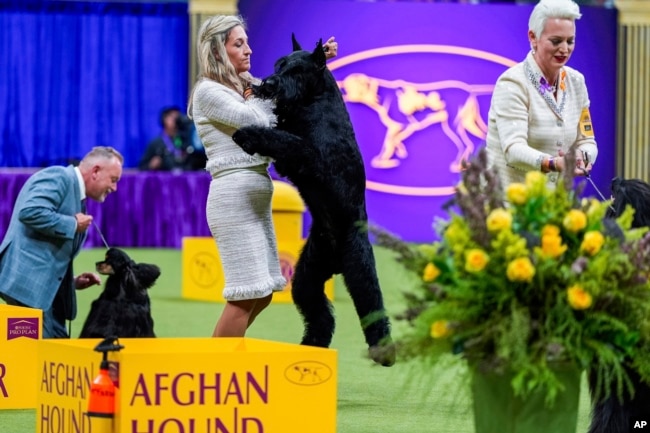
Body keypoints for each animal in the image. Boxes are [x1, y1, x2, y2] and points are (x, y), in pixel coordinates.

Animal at [233, 35, 394, 364]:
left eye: (297, 70)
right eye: (279, 64)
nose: (268, 83)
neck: (313, 100)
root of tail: (336, 261)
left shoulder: (312, 156)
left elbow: (283, 139)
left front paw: (248, 134)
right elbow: (280, 132)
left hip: (360, 271)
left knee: (373, 307)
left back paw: (384, 353)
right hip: (307, 277)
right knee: (320, 314)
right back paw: (312, 344)